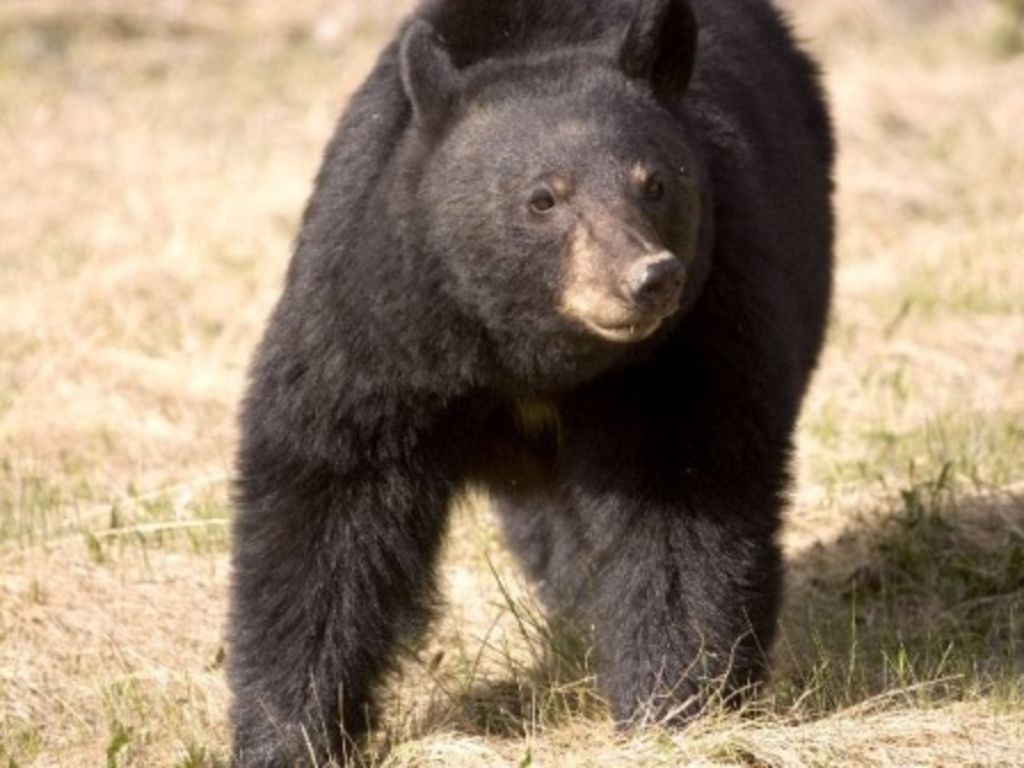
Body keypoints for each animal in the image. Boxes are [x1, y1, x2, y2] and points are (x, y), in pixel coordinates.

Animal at [230, 0, 831, 761]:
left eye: (655, 182)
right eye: (543, 198)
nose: (648, 278)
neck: (525, 351)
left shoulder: (690, 339)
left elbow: (682, 501)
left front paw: (678, 704)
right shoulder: (381, 326)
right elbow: (330, 500)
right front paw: (289, 734)